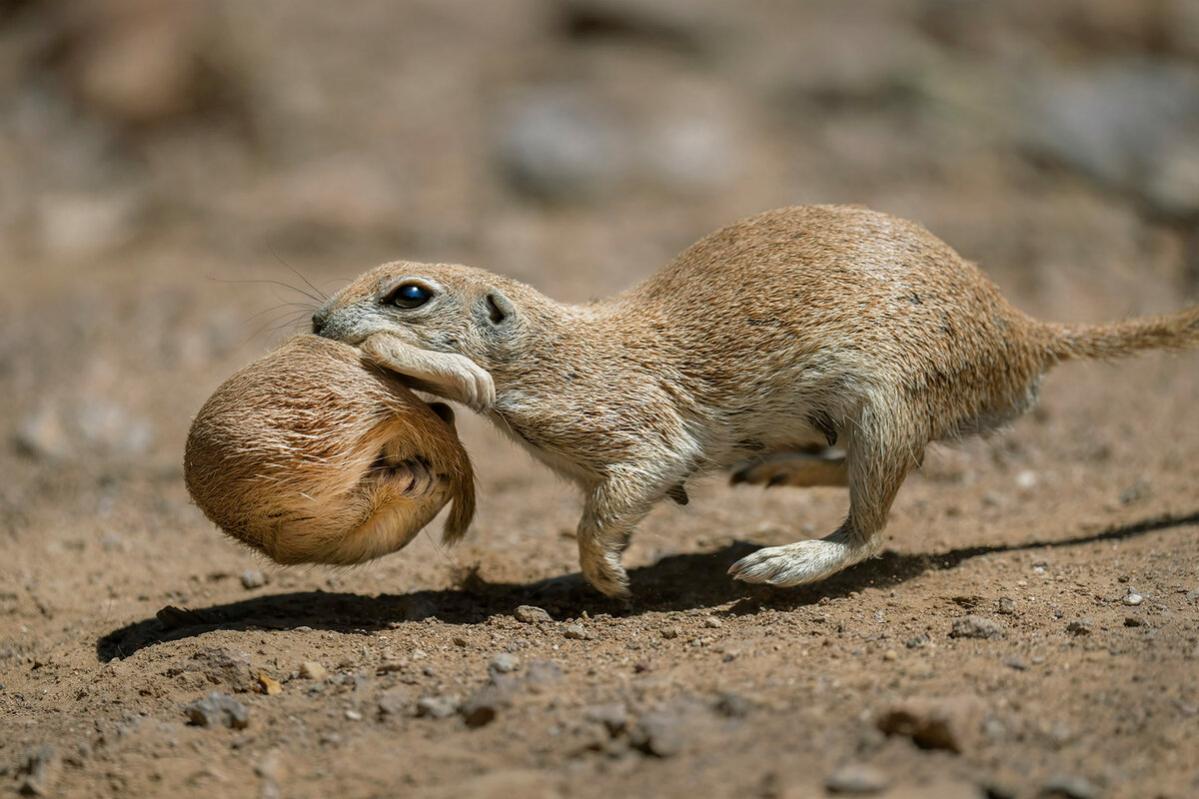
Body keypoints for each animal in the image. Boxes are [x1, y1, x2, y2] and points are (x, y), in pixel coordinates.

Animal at [311, 202, 1199, 595]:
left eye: (409, 294)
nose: (318, 320)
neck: (553, 346)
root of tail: (1023, 332)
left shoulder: (623, 416)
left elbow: (621, 491)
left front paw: (607, 575)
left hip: (888, 404)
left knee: (869, 522)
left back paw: (784, 558)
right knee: (844, 463)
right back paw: (771, 473)